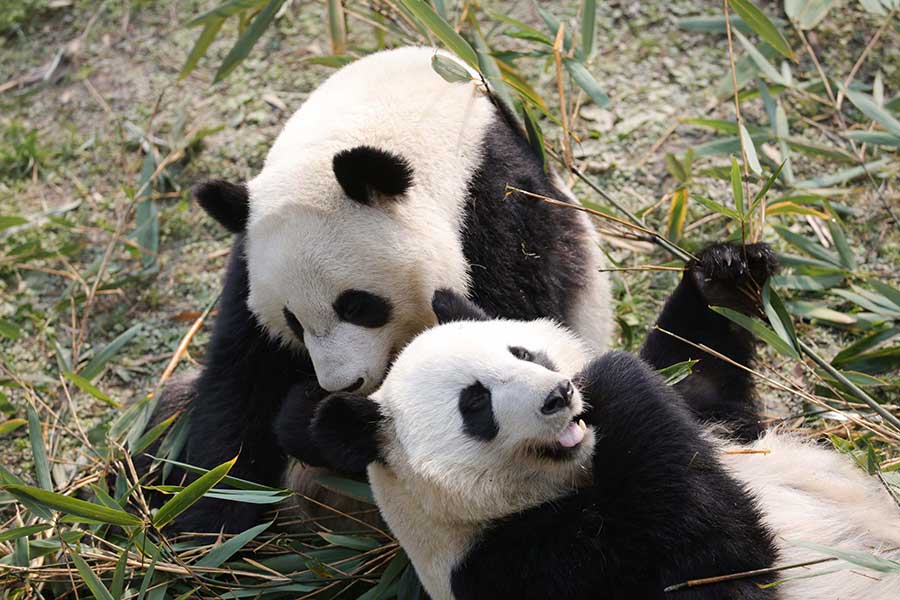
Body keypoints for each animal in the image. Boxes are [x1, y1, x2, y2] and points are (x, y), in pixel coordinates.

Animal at [174, 47, 772, 532]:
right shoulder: (251, 255)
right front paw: (209, 525)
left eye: (359, 306)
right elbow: (239, 382)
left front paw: (321, 421)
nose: (343, 383)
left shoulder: (498, 212)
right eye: (293, 321)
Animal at [308, 290, 900, 600]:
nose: (559, 395)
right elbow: (719, 562)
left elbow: (699, 379)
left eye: (523, 353)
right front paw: (616, 379)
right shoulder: (523, 568)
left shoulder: (716, 425)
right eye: (475, 404)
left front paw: (725, 274)